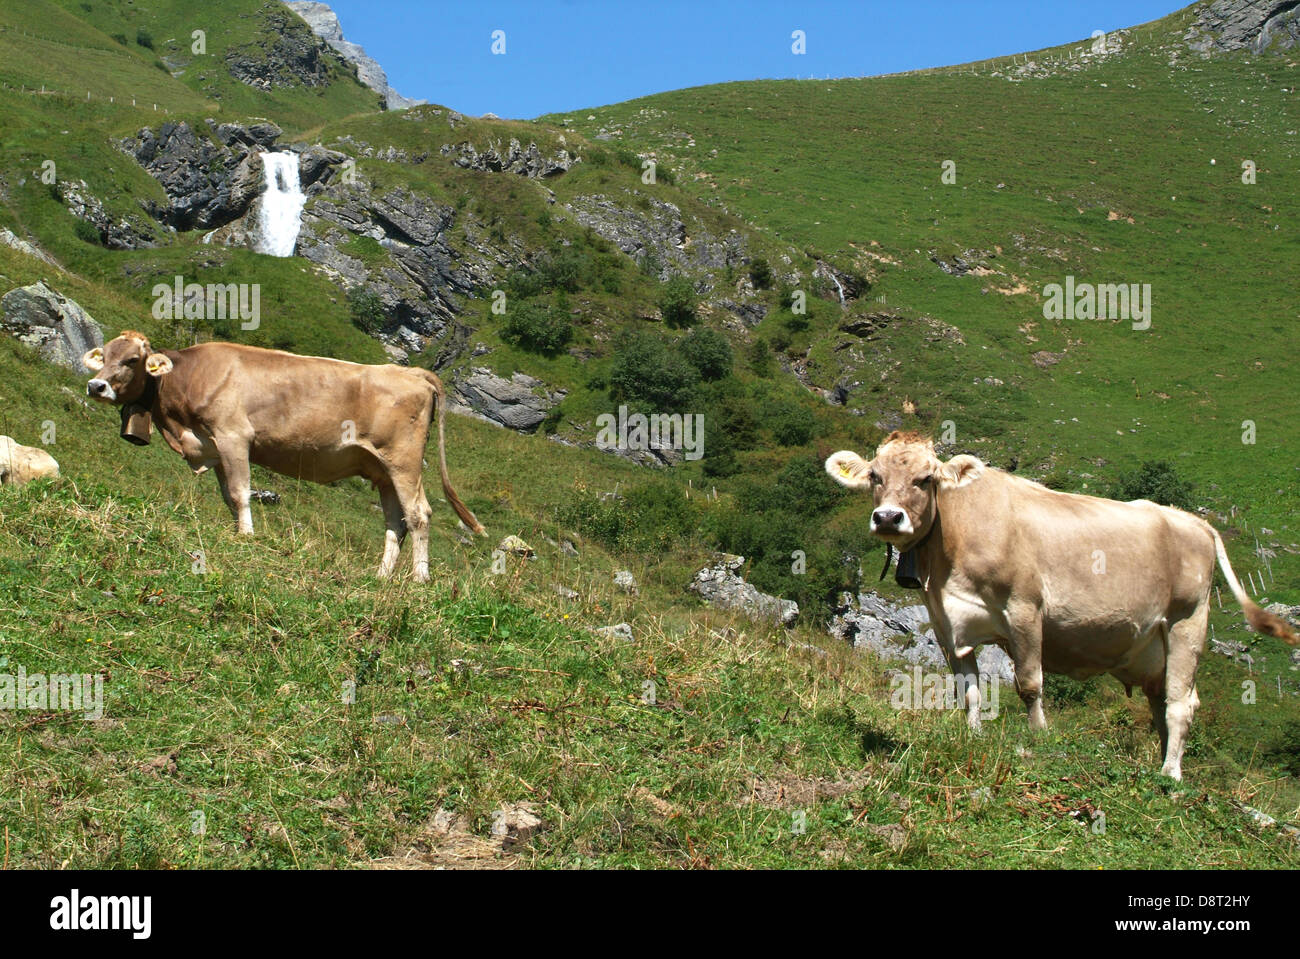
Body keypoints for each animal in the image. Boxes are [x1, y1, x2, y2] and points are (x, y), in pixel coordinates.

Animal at [85, 328, 488, 582]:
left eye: (133, 360)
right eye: (104, 356)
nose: (95, 385)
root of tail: (414, 373)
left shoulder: (234, 435)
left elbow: (239, 493)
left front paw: (248, 537)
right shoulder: (215, 444)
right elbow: (229, 497)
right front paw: (238, 532)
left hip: (404, 460)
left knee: (419, 514)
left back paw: (420, 578)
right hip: (382, 469)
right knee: (396, 522)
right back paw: (381, 576)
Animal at [826, 431, 1294, 779]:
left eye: (926, 479)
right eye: (875, 476)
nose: (888, 518)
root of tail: (1193, 521)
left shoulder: (1025, 608)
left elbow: (1029, 684)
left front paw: (1039, 736)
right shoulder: (946, 621)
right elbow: (968, 688)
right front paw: (973, 736)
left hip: (1187, 621)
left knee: (1182, 703)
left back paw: (1171, 775)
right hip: (1153, 645)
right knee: (1161, 702)